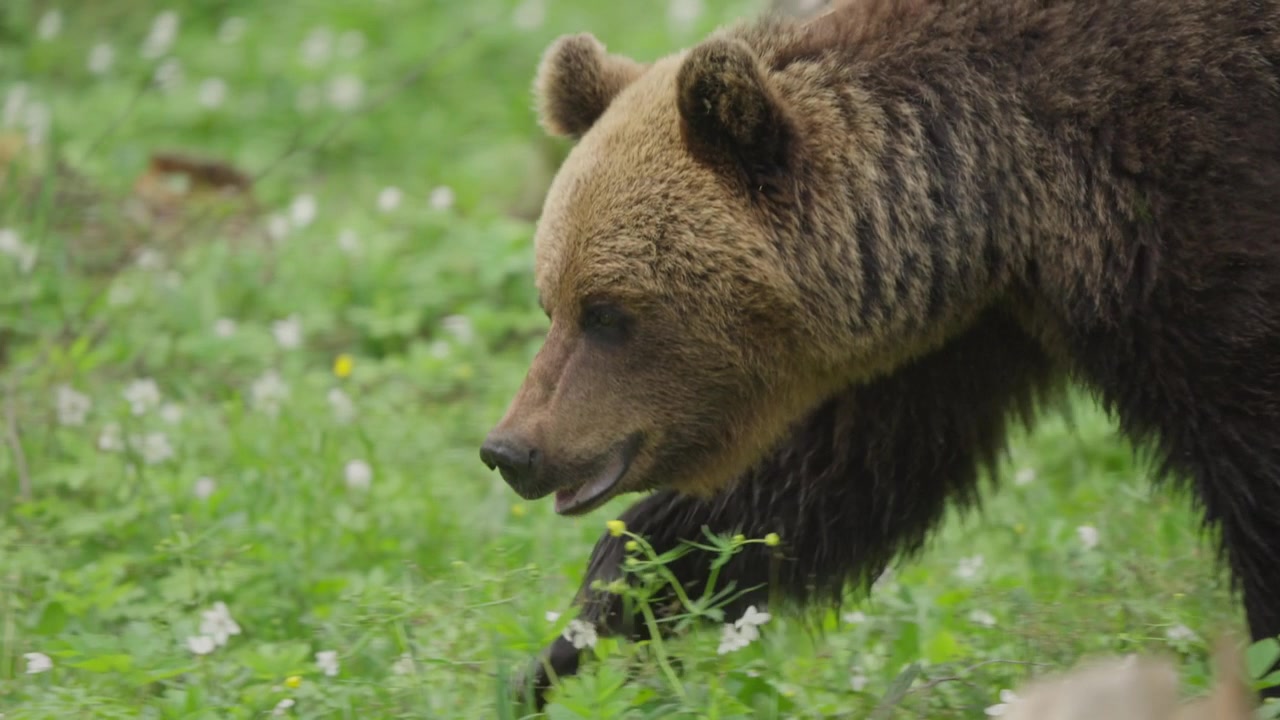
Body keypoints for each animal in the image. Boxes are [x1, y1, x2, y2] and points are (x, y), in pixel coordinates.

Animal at [477, 0, 1280, 708]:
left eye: (608, 313)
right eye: (553, 303)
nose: (510, 449)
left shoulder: (1193, 204)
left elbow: (1250, 444)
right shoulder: (959, 332)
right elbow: (824, 481)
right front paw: (571, 642)